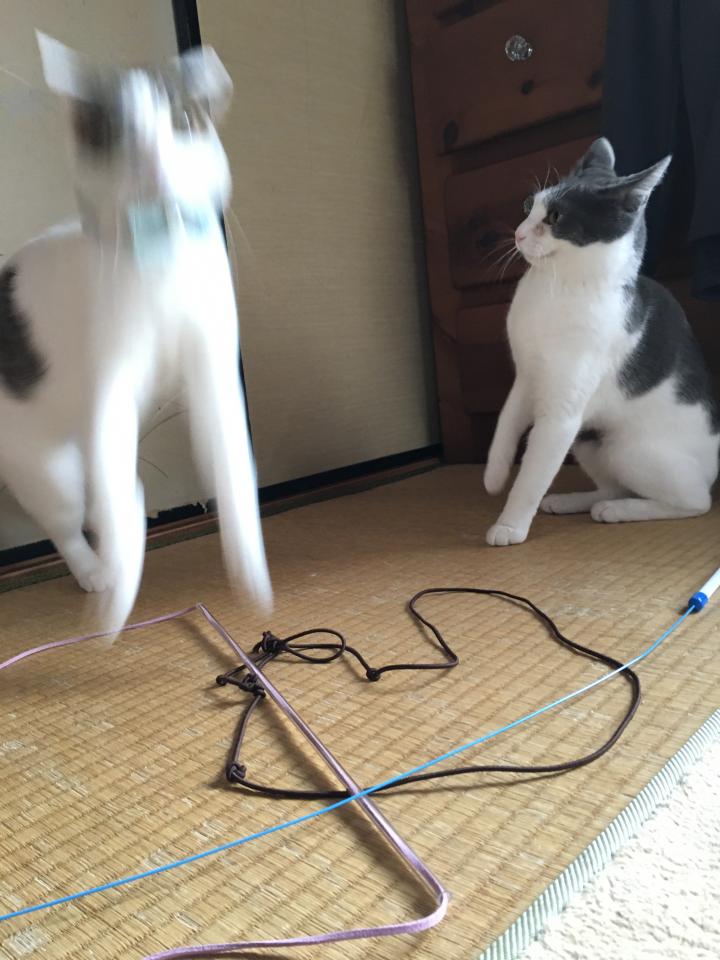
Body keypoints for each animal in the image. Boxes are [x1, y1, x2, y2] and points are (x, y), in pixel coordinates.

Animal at [0, 33, 272, 631]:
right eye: (114, 134)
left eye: (181, 121)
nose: (151, 163)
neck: (162, 257)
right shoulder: (112, 386)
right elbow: (119, 498)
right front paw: (118, 589)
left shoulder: (215, 369)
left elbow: (234, 468)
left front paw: (251, 568)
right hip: (48, 466)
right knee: (69, 518)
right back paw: (95, 569)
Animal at [484, 137, 719, 547]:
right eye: (529, 206)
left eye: (555, 217)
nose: (518, 233)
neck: (557, 286)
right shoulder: (527, 378)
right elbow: (505, 422)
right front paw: (494, 476)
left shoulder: (561, 414)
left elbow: (532, 475)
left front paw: (510, 525)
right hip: (588, 440)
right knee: (613, 486)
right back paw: (577, 501)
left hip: (627, 448)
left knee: (695, 501)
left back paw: (619, 511)